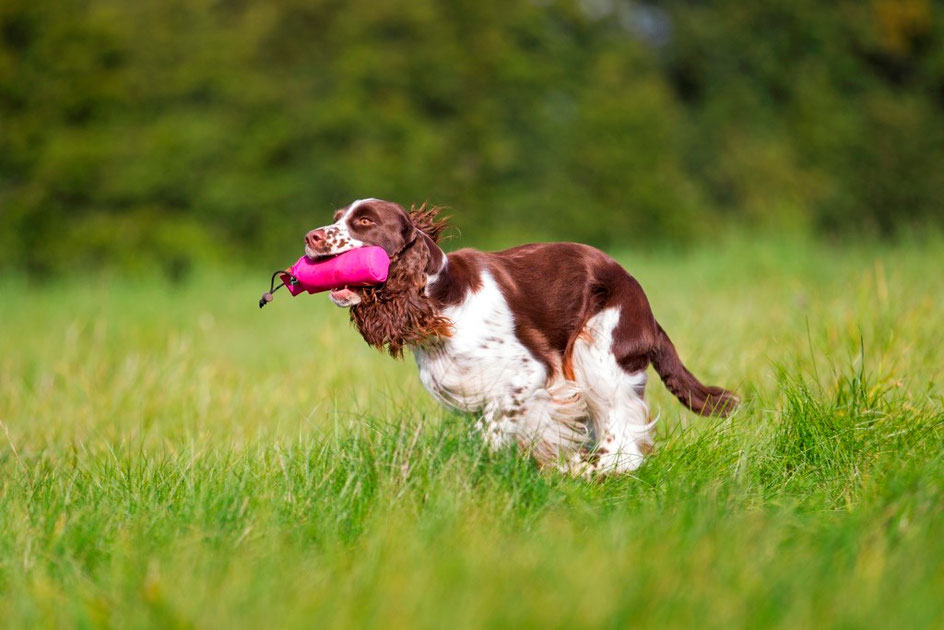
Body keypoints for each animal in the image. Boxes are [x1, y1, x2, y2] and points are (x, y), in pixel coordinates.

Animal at [304, 198, 736, 474]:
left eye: (364, 222)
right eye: (337, 217)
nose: (311, 237)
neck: (438, 299)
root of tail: (645, 307)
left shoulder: (529, 372)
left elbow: (492, 429)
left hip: (597, 349)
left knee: (623, 440)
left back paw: (595, 471)